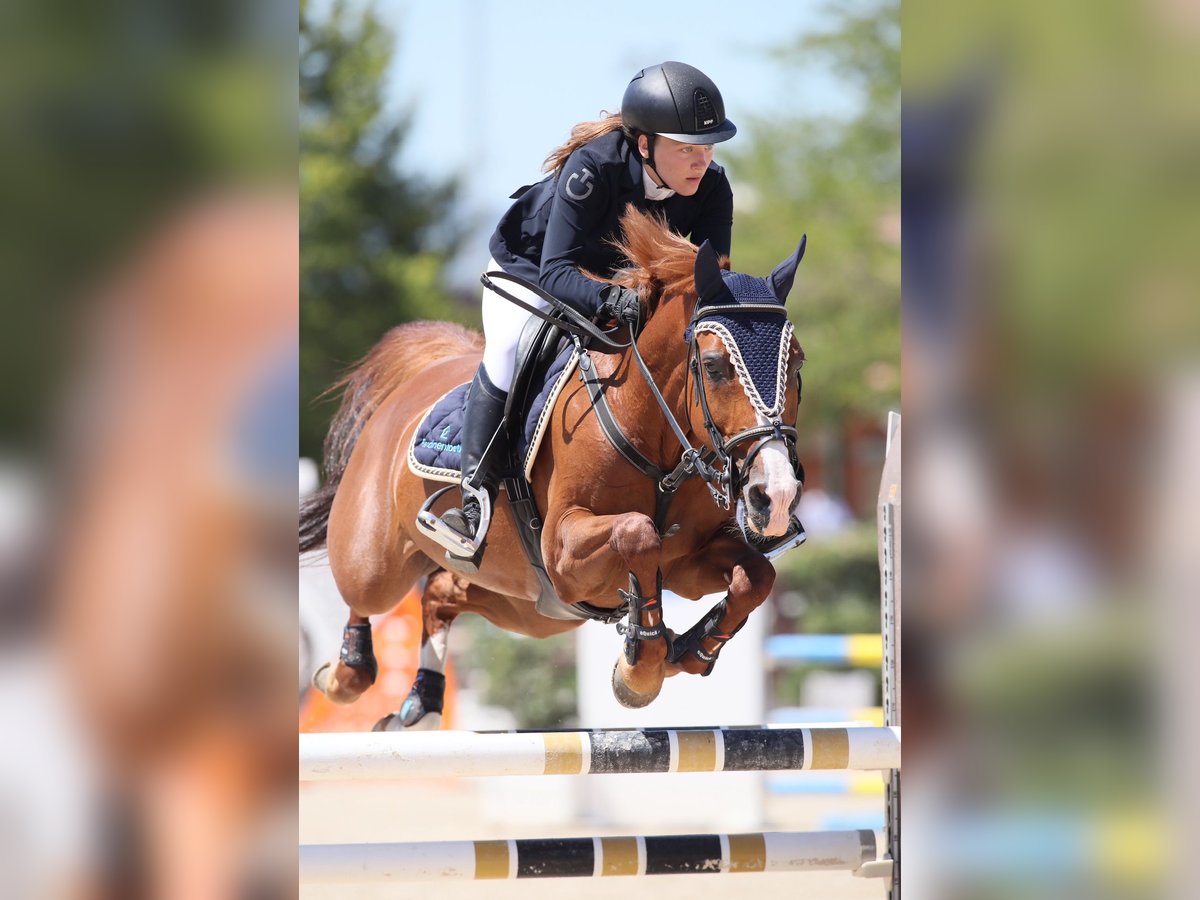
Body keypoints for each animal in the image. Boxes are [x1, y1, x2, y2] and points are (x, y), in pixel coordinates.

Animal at [298, 207, 806, 729]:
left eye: (798, 364)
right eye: (714, 366)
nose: (776, 495)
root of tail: (419, 376)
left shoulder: (686, 560)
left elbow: (755, 578)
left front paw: (687, 650)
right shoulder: (563, 552)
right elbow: (638, 532)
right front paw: (640, 671)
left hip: (529, 608)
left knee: (441, 591)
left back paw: (421, 703)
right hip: (379, 562)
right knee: (365, 595)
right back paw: (346, 675)